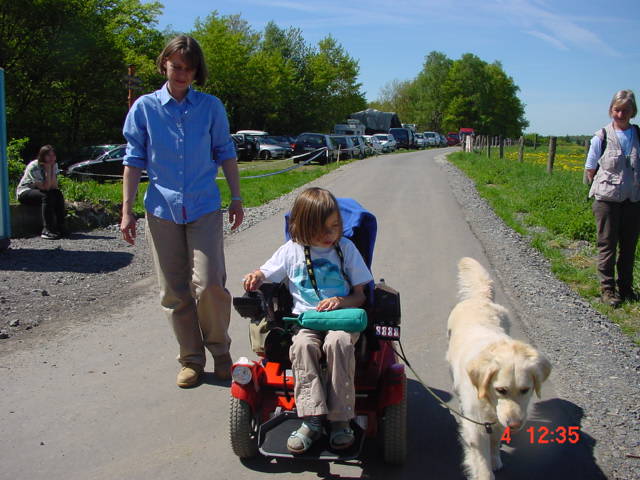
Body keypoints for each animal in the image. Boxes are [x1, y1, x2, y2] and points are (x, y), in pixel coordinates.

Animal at [446, 257, 551, 480]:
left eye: (525, 390)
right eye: (501, 390)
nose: (515, 425)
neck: (489, 401)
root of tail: (480, 298)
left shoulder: (497, 420)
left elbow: (495, 440)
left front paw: (495, 459)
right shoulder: (477, 427)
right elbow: (482, 465)